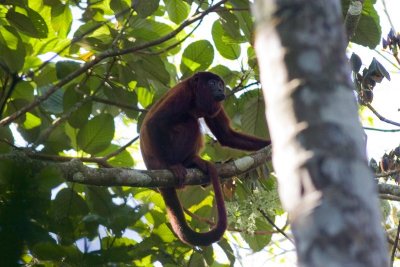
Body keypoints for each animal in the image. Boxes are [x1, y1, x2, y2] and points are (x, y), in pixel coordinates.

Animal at [140, 71, 268, 247]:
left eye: (220, 84)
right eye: (212, 83)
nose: (221, 89)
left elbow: (226, 135)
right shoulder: (182, 95)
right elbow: (155, 123)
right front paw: (171, 166)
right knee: (190, 121)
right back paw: (187, 162)